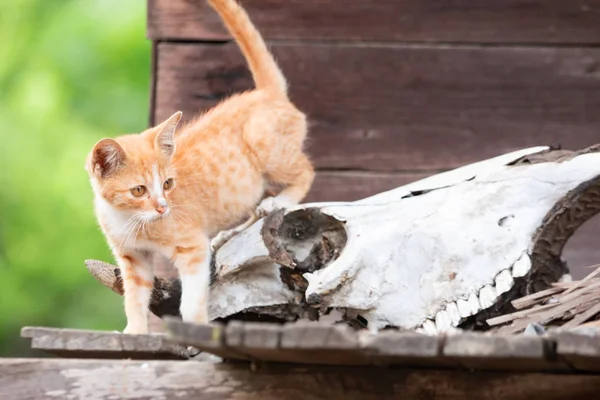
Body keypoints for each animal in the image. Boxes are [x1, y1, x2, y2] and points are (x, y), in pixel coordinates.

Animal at [85, 0, 314, 332]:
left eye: (167, 184)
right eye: (139, 190)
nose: (163, 208)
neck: (130, 221)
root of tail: (266, 93)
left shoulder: (192, 248)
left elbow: (192, 298)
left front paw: (195, 329)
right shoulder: (132, 258)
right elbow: (135, 298)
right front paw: (136, 330)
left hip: (266, 147)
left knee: (307, 170)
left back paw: (279, 201)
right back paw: (230, 232)